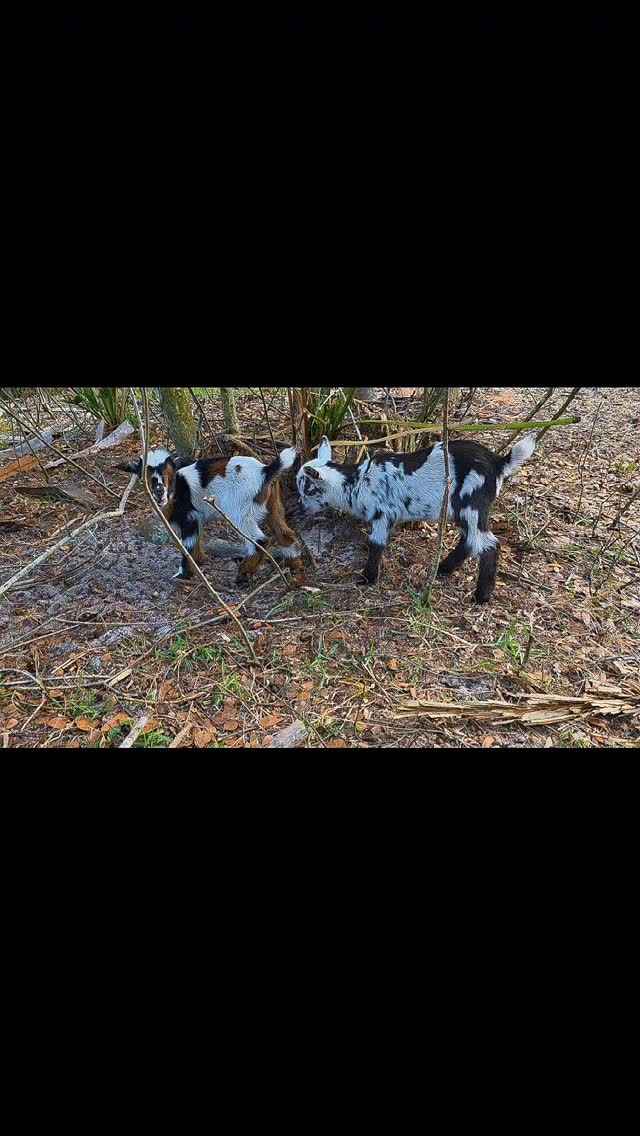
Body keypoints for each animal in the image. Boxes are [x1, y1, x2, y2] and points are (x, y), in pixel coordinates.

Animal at [118, 446, 302, 583]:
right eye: (147, 477)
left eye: (169, 475)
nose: (159, 492)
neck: (176, 492)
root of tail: (265, 471)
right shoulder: (197, 518)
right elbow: (197, 539)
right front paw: (199, 561)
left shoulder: (190, 516)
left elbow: (188, 543)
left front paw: (184, 573)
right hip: (273, 503)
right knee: (284, 532)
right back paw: (293, 564)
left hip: (239, 510)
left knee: (259, 539)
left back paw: (243, 572)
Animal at [296, 434, 536, 602]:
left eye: (307, 489)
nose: (302, 508)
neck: (357, 482)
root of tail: (497, 463)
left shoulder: (383, 514)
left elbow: (375, 544)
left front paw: (367, 578)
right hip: (464, 510)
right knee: (469, 540)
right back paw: (445, 568)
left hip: (472, 503)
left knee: (488, 545)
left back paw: (481, 596)